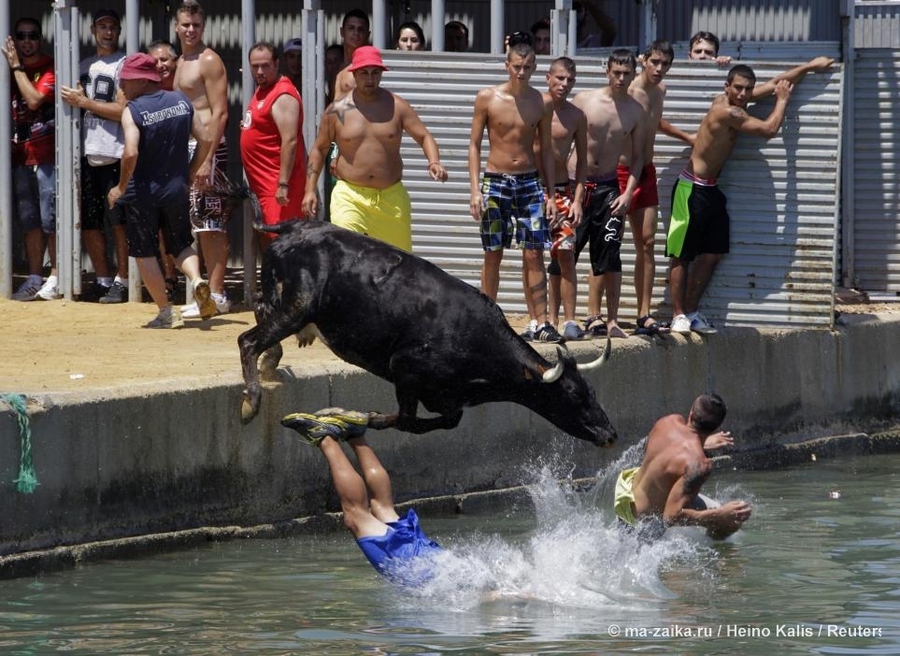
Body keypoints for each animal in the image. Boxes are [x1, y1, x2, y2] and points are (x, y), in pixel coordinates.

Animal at [239, 220, 620, 446]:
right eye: (574, 396)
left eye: (593, 392)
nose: (611, 433)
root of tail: (296, 226)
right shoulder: (404, 369)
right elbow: (406, 421)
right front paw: (354, 416)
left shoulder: (447, 399)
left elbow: (443, 421)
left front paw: (349, 417)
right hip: (297, 307)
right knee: (248, 340)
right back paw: (250, 402)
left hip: (283, 302)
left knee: (257, 314)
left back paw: (272, 361)